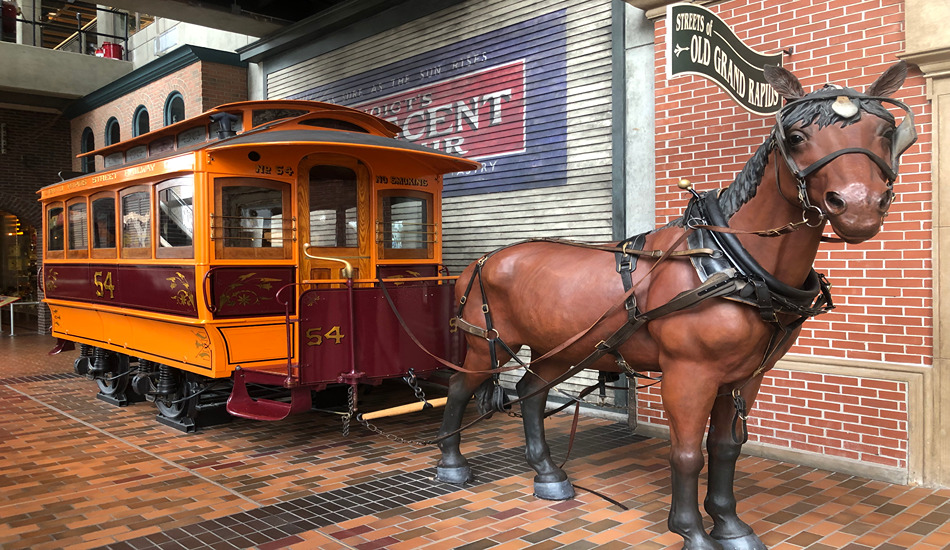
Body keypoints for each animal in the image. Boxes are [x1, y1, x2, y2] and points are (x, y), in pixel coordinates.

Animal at [436, 60, 920, 550]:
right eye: (797, 136)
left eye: (886, 131)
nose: (860, 206)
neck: (730, 262)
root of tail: (485, 259)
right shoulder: (690, 374)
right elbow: (687, 453)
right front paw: (692, 531)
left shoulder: (746, 375)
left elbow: (725, 448)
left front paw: (730, 525)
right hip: (485, 345)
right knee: (459, 388)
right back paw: (452, 465)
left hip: (564, 347)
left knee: (532, 392)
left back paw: (548, 473)